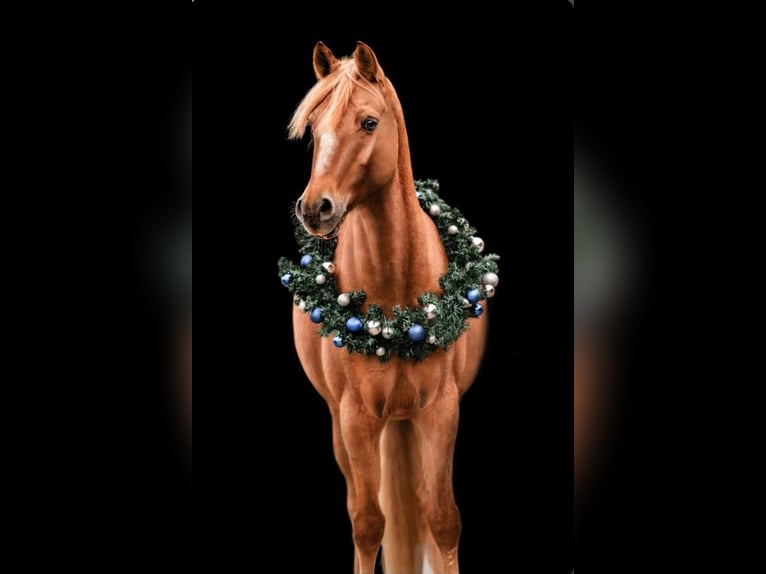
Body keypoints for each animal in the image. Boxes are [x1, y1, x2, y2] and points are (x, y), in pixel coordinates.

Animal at [286, 42, 489, 574]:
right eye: (312, 129)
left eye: (369, 122)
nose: (315, 208)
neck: (396, 311)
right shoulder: (355, 419)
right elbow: (367, 524)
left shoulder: (441, 410)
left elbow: (441, 519)